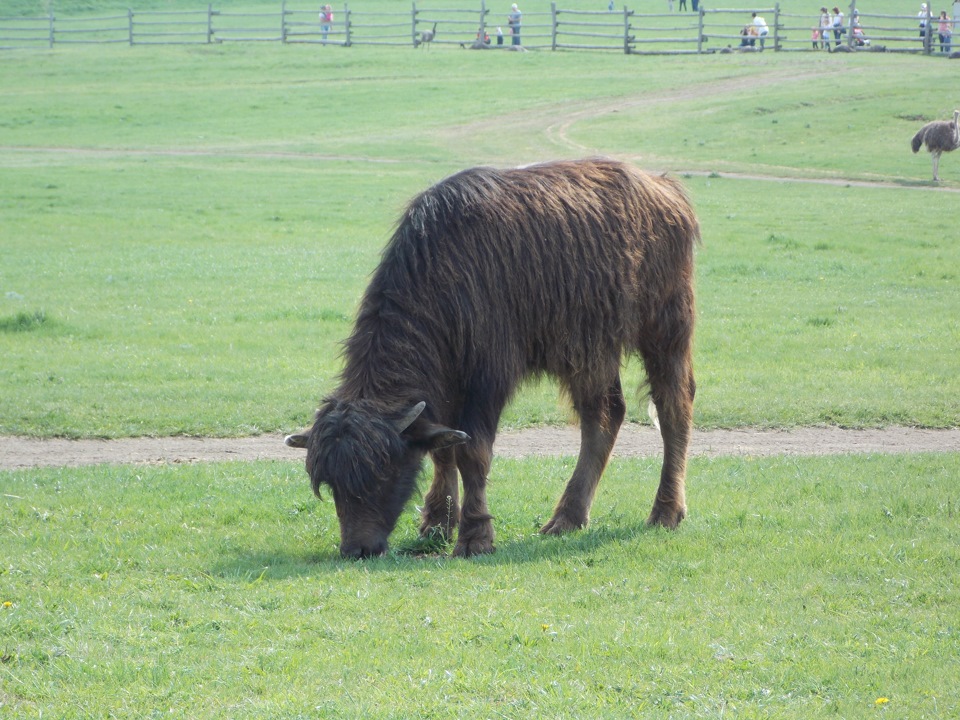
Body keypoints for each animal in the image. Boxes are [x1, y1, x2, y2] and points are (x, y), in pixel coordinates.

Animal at [284, 159, 696, 564]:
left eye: (383, 472)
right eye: (332, 485)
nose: (358, 549)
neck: (440, 270)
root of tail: (665, 189)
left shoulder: (488, 380)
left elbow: (472, 453)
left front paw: (475, 536)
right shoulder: (445, 385)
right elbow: (443, 448)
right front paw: (437, 524)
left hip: (666, 329)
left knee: (674, 407)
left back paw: (665, 511)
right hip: (589, 351)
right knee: (605, 415)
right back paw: (567, 517)